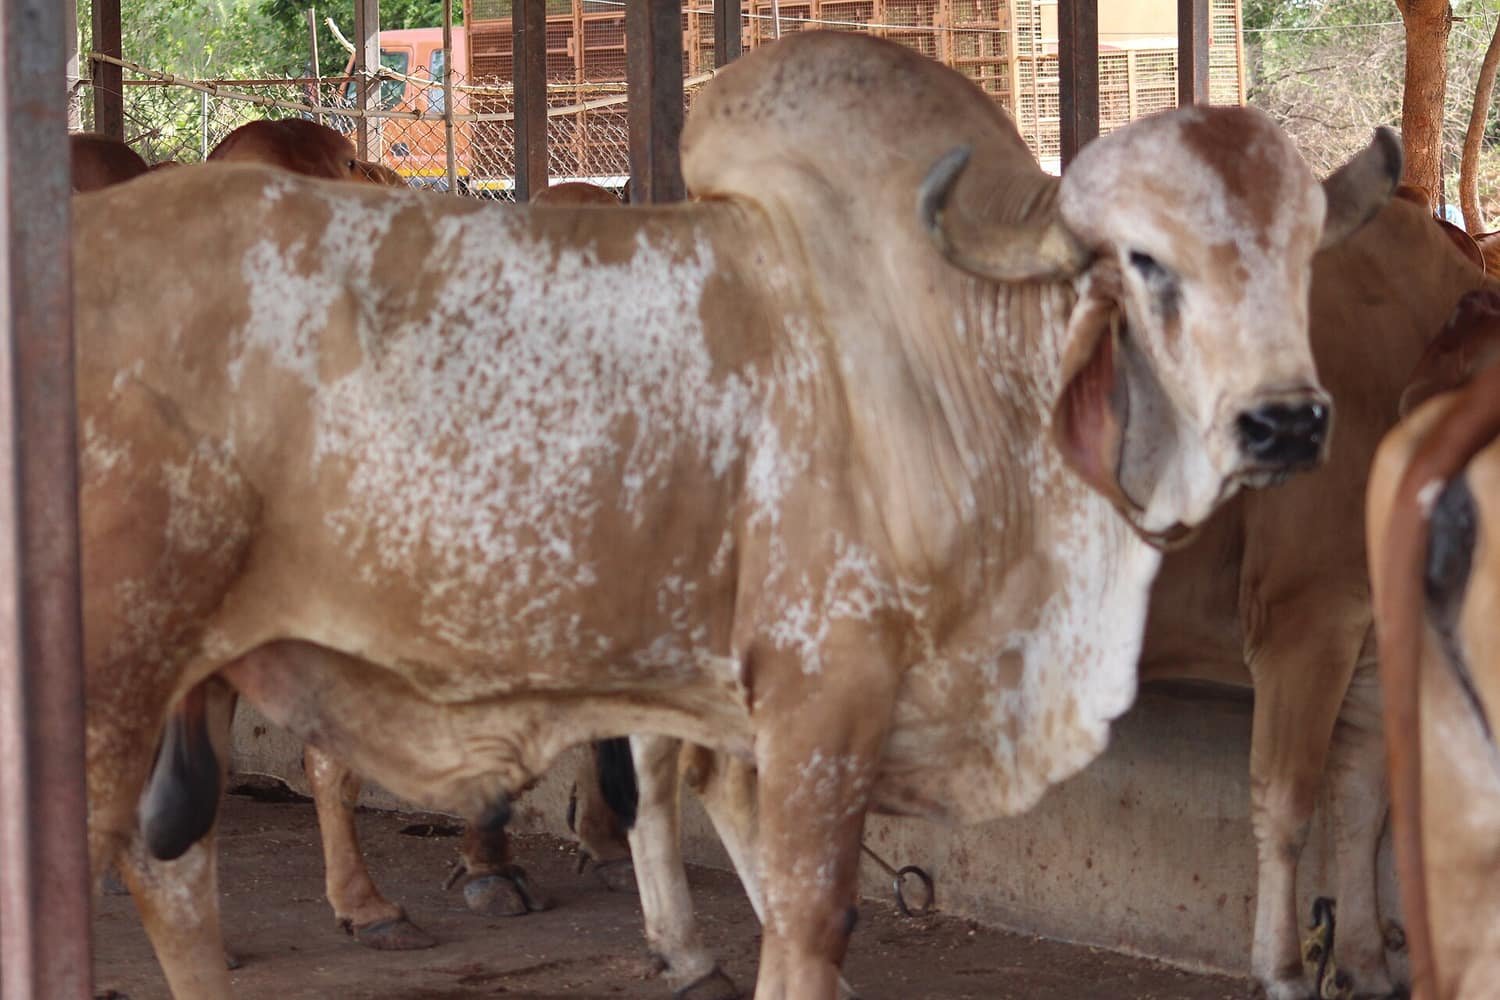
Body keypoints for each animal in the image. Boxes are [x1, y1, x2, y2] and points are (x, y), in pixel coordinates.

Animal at [75, 32, 1395, 1000]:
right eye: (1145, 261)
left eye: (1303, 254)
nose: (1287, 423)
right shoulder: (825, 688)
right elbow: (812, 915)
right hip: (115, 671)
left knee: (170, 862)